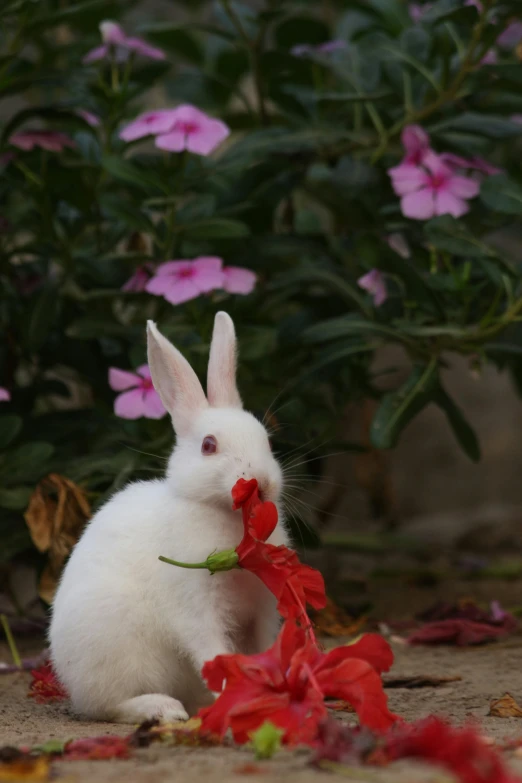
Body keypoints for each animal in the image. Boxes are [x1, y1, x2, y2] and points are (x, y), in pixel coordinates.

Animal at [50, 310, 286, 724]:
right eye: (209, 445)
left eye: (267, 440)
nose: (262, 482)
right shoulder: (196, 608)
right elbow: (212, 652)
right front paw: (236, 697)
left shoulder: (259, 613)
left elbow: (258, 651)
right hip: (115, 649)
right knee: (108, 706)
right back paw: (163, 709)